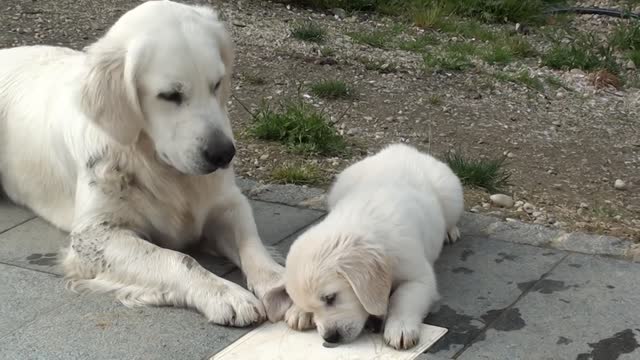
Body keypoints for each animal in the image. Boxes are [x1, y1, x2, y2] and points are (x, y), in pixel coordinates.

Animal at [0, 0, 288, 326]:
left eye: (216, 84)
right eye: (170, 95)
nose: (223, 154)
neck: (158, 165)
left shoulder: (227, 203)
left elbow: (252, 245)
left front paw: (281, 284)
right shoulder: (94, 234)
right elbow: (179, 258)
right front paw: (224, 293)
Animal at [278, 143, 462, 348]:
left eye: (330, 298)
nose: (330, 338)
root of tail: (399, 148)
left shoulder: (419, 278)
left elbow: (403, 298)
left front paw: (400, 327)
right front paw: (299, 310)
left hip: (450, 193)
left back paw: (450, 232)